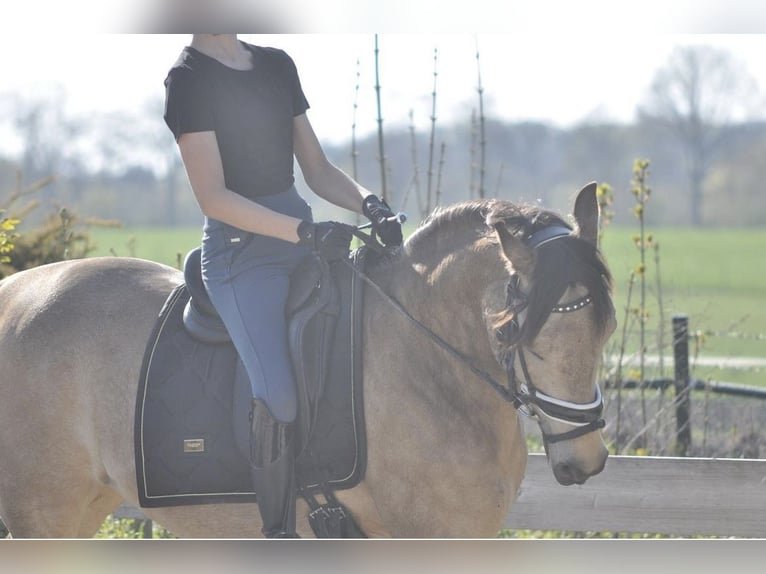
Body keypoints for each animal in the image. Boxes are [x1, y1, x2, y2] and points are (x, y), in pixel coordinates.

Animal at [0, 184, 616, 540]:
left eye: (605, 330)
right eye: (518, 333)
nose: (585, 461)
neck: (429, 365)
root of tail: (14, 291)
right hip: (44, 514)